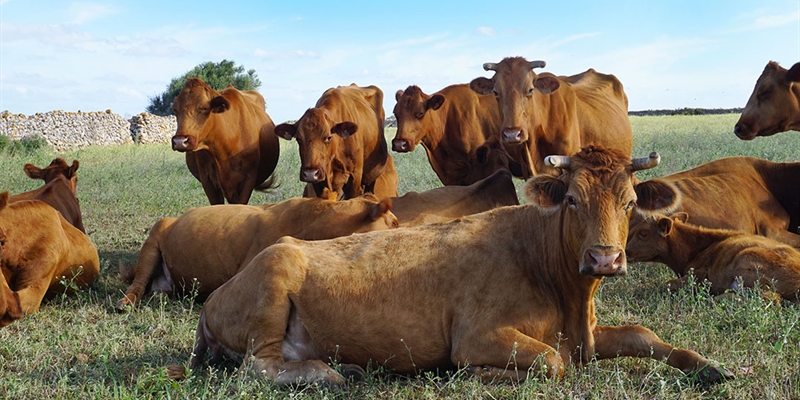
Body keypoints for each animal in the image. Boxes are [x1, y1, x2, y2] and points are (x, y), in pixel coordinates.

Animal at [626, 213, 800, 301]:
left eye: (643, 233)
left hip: (746, 260)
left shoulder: (699, 275)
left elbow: (668, 284)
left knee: (770, 297)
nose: (625, 252)